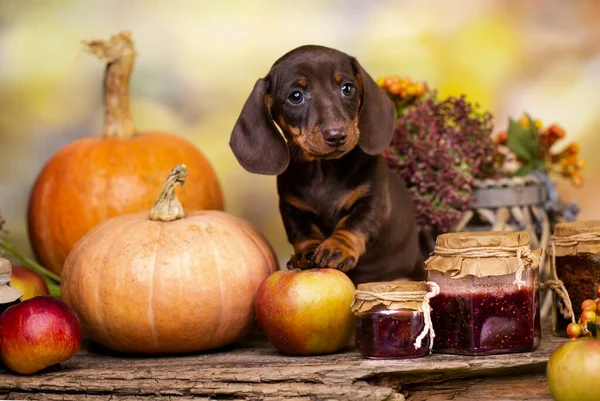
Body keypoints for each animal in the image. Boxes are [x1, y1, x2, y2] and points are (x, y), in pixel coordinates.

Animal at [230, 44, 422, 284]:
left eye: (347, 88)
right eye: (296, 96)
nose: (336, 135)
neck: (323, 170)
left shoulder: (373, 199)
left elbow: (354, 223)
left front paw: (337, 249)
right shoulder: (292, 208)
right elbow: (303, 232)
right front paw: (307, 253)